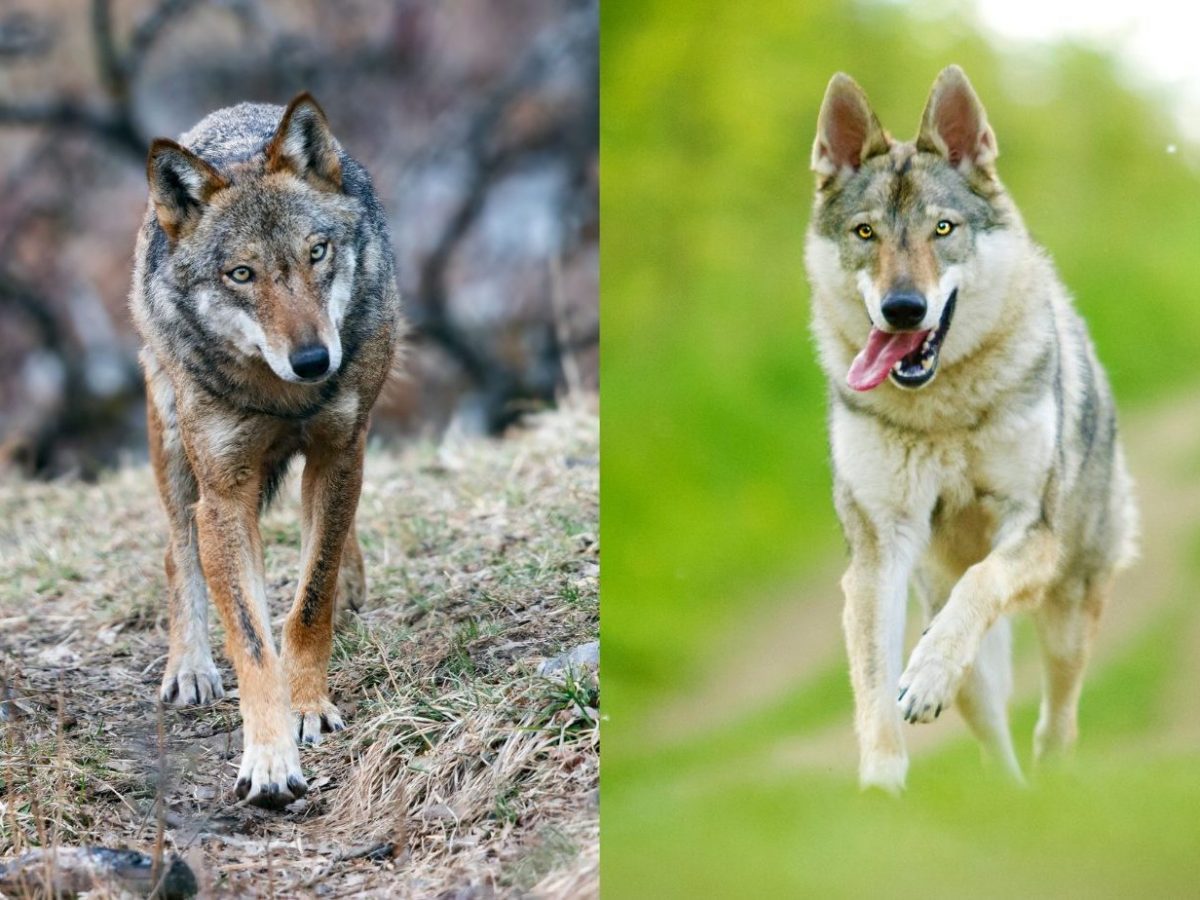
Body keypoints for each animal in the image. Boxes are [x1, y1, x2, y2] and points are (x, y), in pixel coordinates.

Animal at [129, 93, 402, 808]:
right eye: (242, 275)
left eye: (317, 252)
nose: (313, 361)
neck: (283, 397)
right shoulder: (225, 496)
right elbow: (252, 642)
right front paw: (270, 759)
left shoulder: (339, 452)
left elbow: (309, 601)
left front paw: (307, 707)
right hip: (173, 441)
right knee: (176, 552)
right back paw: (190, 666)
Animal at [804, 66, 1137, 794]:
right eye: (866, 234)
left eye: (943, 229)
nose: (903, 309)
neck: (943, 414)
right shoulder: (878, 552)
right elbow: (875, 691)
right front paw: (881, 790)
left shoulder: (1033, 530)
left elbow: (983, 582)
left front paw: (925, 677)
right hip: (963, 652)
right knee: (992, 734)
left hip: (1068, 613)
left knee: (1057, 721)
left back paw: (1050, 785)